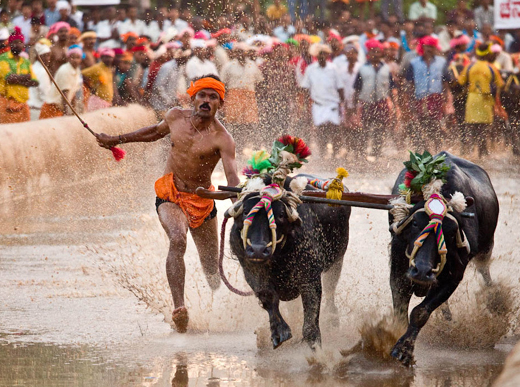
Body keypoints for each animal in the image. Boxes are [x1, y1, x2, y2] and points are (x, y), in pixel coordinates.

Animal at [230, 175, 352, 348]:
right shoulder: (251, 272)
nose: (258, 249)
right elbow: (269, 298)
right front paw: (279, 332)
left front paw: (318, 352)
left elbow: (310, 325)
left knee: (330, 291)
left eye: (281, 214)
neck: (278, 256)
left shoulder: (310, 279)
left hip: (337, 261)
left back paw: (332, 320)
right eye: (246, 211)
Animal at [390, 152, 500, 366]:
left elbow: (420, 312)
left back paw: (496, 301)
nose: (422, 272)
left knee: (485, 272)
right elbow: (400, 312)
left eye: (450, 232)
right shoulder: (398, 271)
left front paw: (404, 350)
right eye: (415, 223)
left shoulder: (454, 277)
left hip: (487, 247)